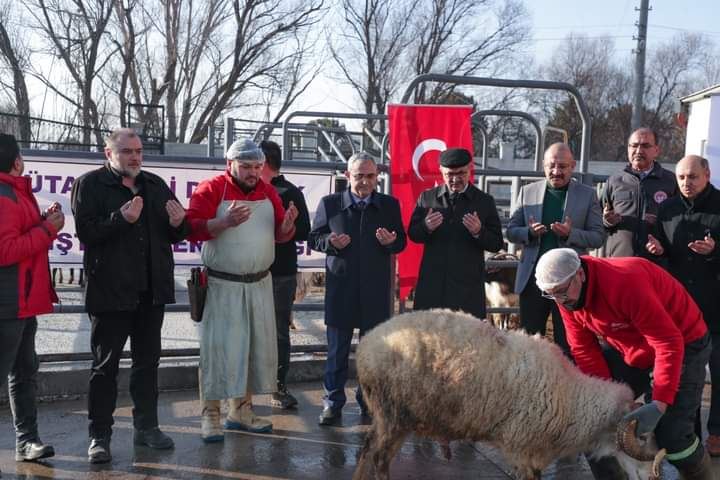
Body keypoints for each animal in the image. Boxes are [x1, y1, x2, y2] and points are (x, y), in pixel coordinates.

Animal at [354, 310, 664, 480]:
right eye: (641, 438)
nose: (652, 477)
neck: (570, 399)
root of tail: (366, 344)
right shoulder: (521, 445)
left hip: (388, 416)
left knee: (368, 448)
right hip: (393, 413)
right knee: (379, 457)